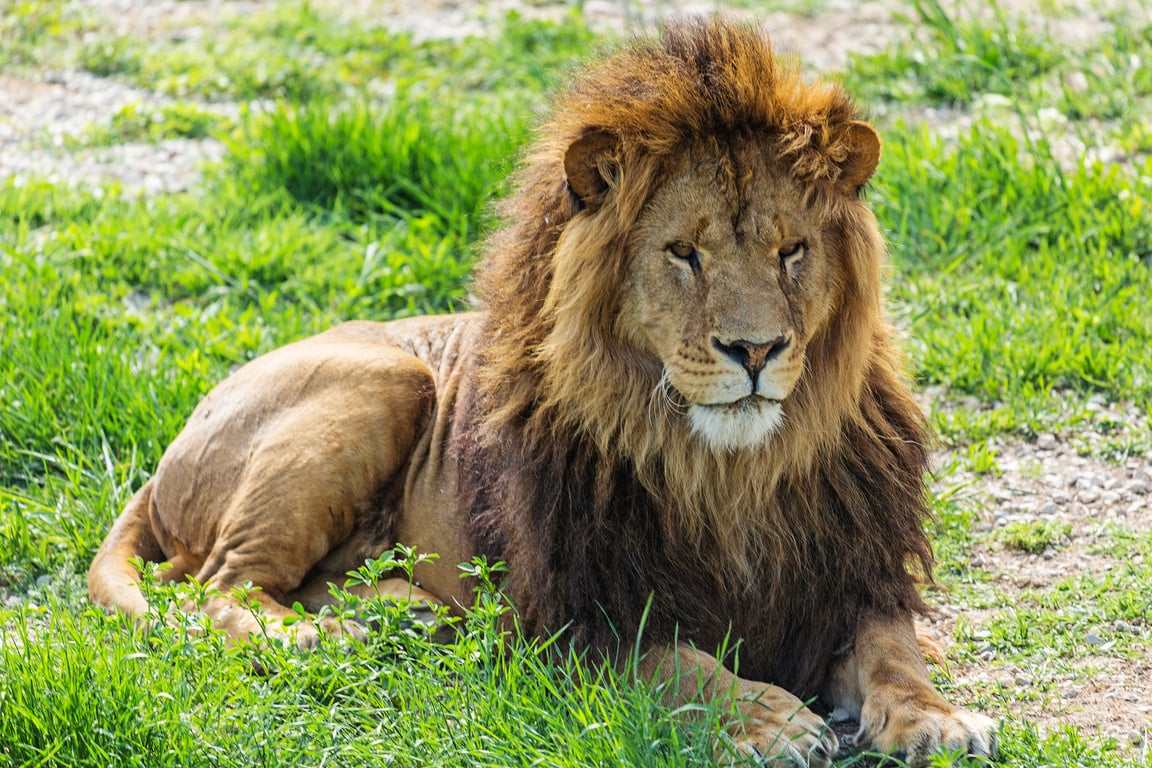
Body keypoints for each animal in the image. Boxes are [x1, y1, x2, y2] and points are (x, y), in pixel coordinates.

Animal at [85, 17, 995, 768]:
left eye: (791, 251)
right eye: (684, 253)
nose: (756, 349)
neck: (727, 471)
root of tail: (165, 460)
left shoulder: (850, 580)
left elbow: (892, 652)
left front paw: (937, 718)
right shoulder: (577, 614)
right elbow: (679, 664)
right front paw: (765, 719)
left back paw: (398, 612)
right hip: (386, 380)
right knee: (217, 585)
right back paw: (331, 638)